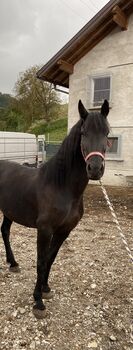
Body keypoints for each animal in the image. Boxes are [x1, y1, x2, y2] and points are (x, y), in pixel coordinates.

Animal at [0, 99, 109, 318]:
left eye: (107, 132)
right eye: (83, 132)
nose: (95, 169)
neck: (60, 185)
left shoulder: (64, 230)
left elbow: (51, 258)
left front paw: (45, 289)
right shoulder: (45, 229)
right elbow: (41, 261)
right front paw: (38, 302)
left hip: (9, 211)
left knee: (5, 231)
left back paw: (13, 264)